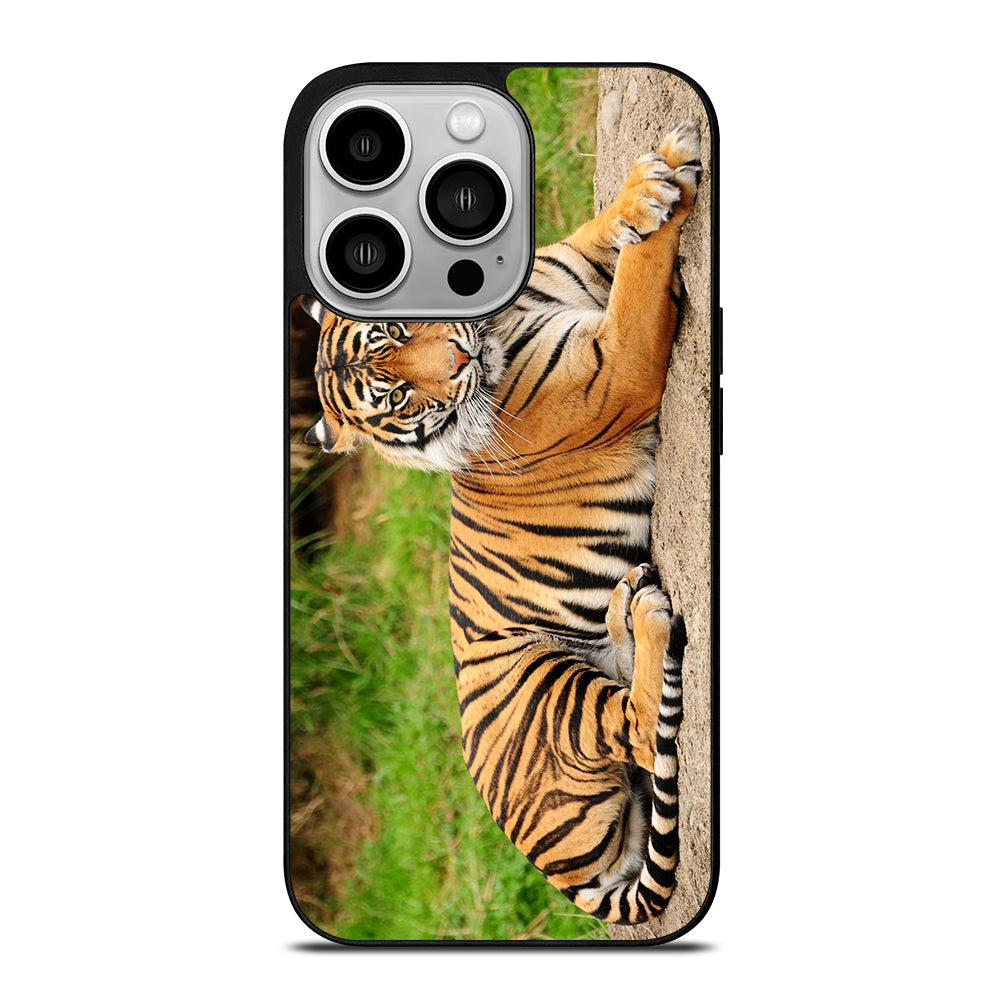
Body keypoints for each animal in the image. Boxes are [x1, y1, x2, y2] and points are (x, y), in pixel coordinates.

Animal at [301, 120, 701, 924]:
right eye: (395, 396)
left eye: (398, 328)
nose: (458, 358)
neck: (497, 317)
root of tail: (561, 875)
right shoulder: (617, 365)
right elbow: (640, 277)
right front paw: (663, 186)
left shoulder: (572, 267)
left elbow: (607, 232)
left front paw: (649, 183)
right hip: (543, 684)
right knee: (641, 728)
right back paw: (646, 616)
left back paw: (626, 605)